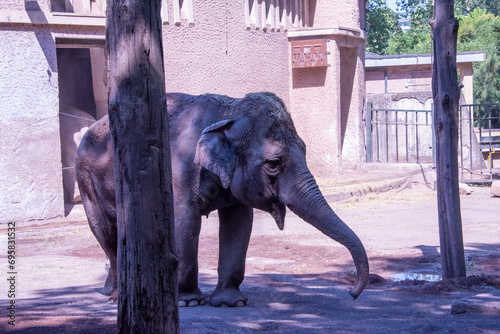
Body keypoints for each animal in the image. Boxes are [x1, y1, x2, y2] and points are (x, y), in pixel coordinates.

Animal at [76, 92, 370, 308]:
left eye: (306, 150)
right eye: (274, 163)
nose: (351, 293)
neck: (228, 112)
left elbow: (239, 223)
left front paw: (231, 302)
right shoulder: (179, 171)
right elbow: (185, 221)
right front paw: (188, 301)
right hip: (85, 177)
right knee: (106, 232)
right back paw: (116, 296)